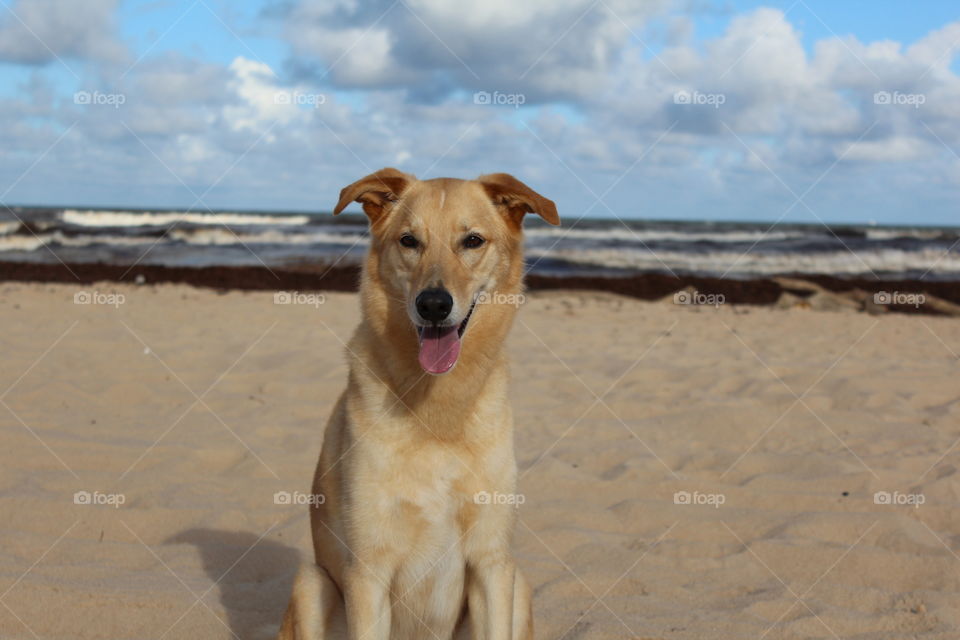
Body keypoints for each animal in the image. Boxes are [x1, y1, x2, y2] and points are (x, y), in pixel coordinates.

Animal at [278, 169, 560, 640]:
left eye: (472, 240)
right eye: (409, 241)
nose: (433, 305)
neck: (437, 409)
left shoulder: (491, 564)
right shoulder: (368, 572)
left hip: (517, 582)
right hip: (310, 583)